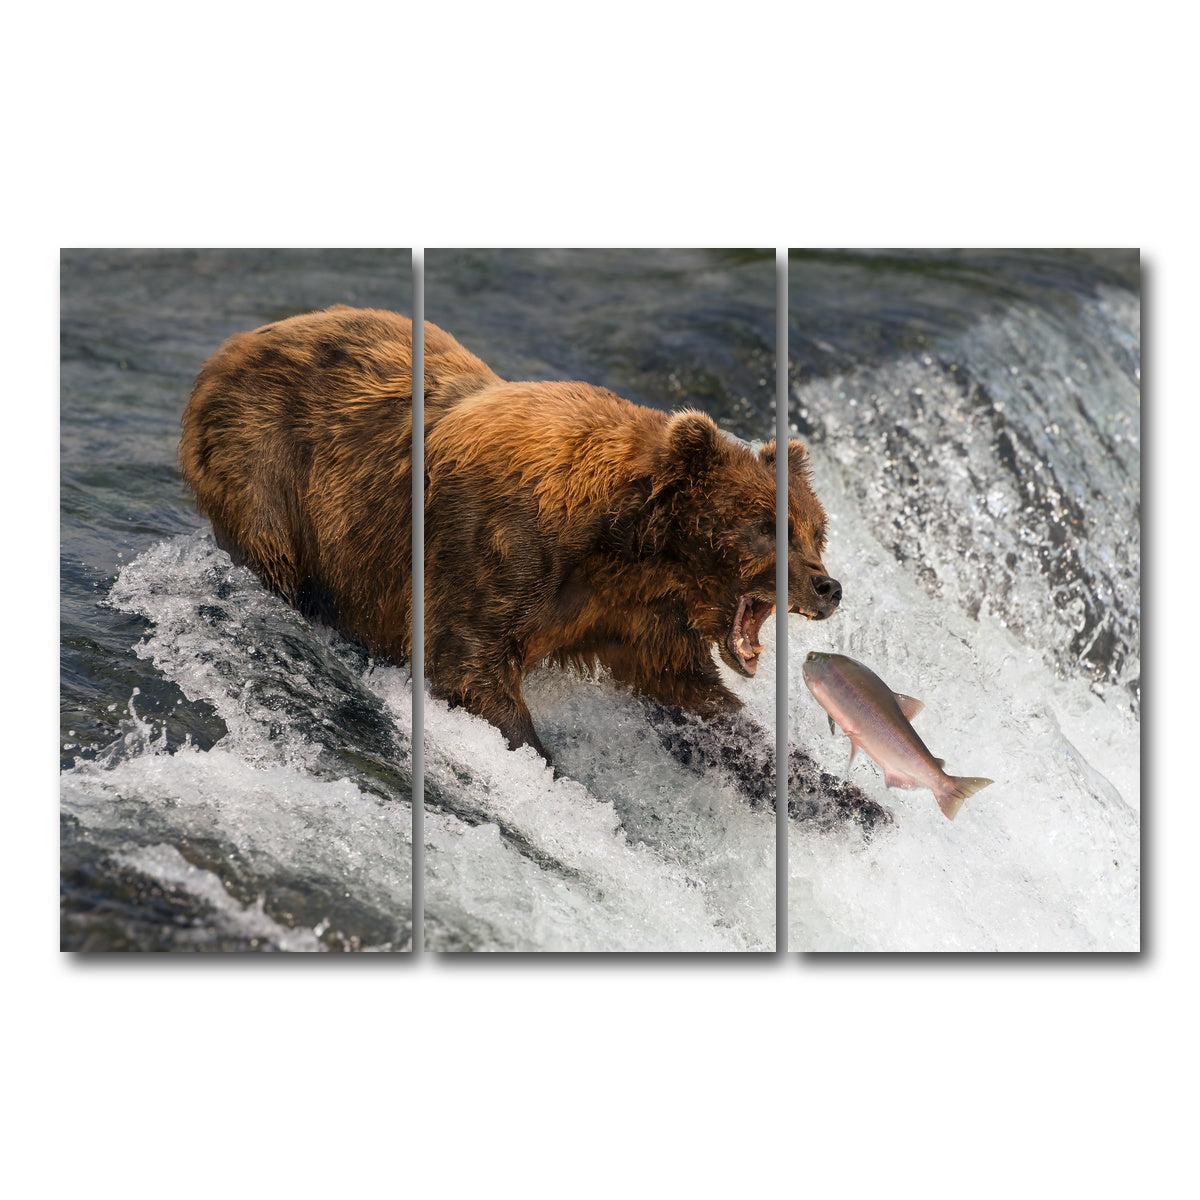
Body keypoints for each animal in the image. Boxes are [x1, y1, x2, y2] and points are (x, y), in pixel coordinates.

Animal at [180, 306, 885, 827]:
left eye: (815, 531)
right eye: (769, 528)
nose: (828, 585)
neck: (623, 546)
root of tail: (230, 348)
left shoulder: (634, 616)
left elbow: (697, 702)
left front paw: (849, 799)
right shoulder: (498, 548)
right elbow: (469, 666)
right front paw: (556, 774)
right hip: (270, 470)